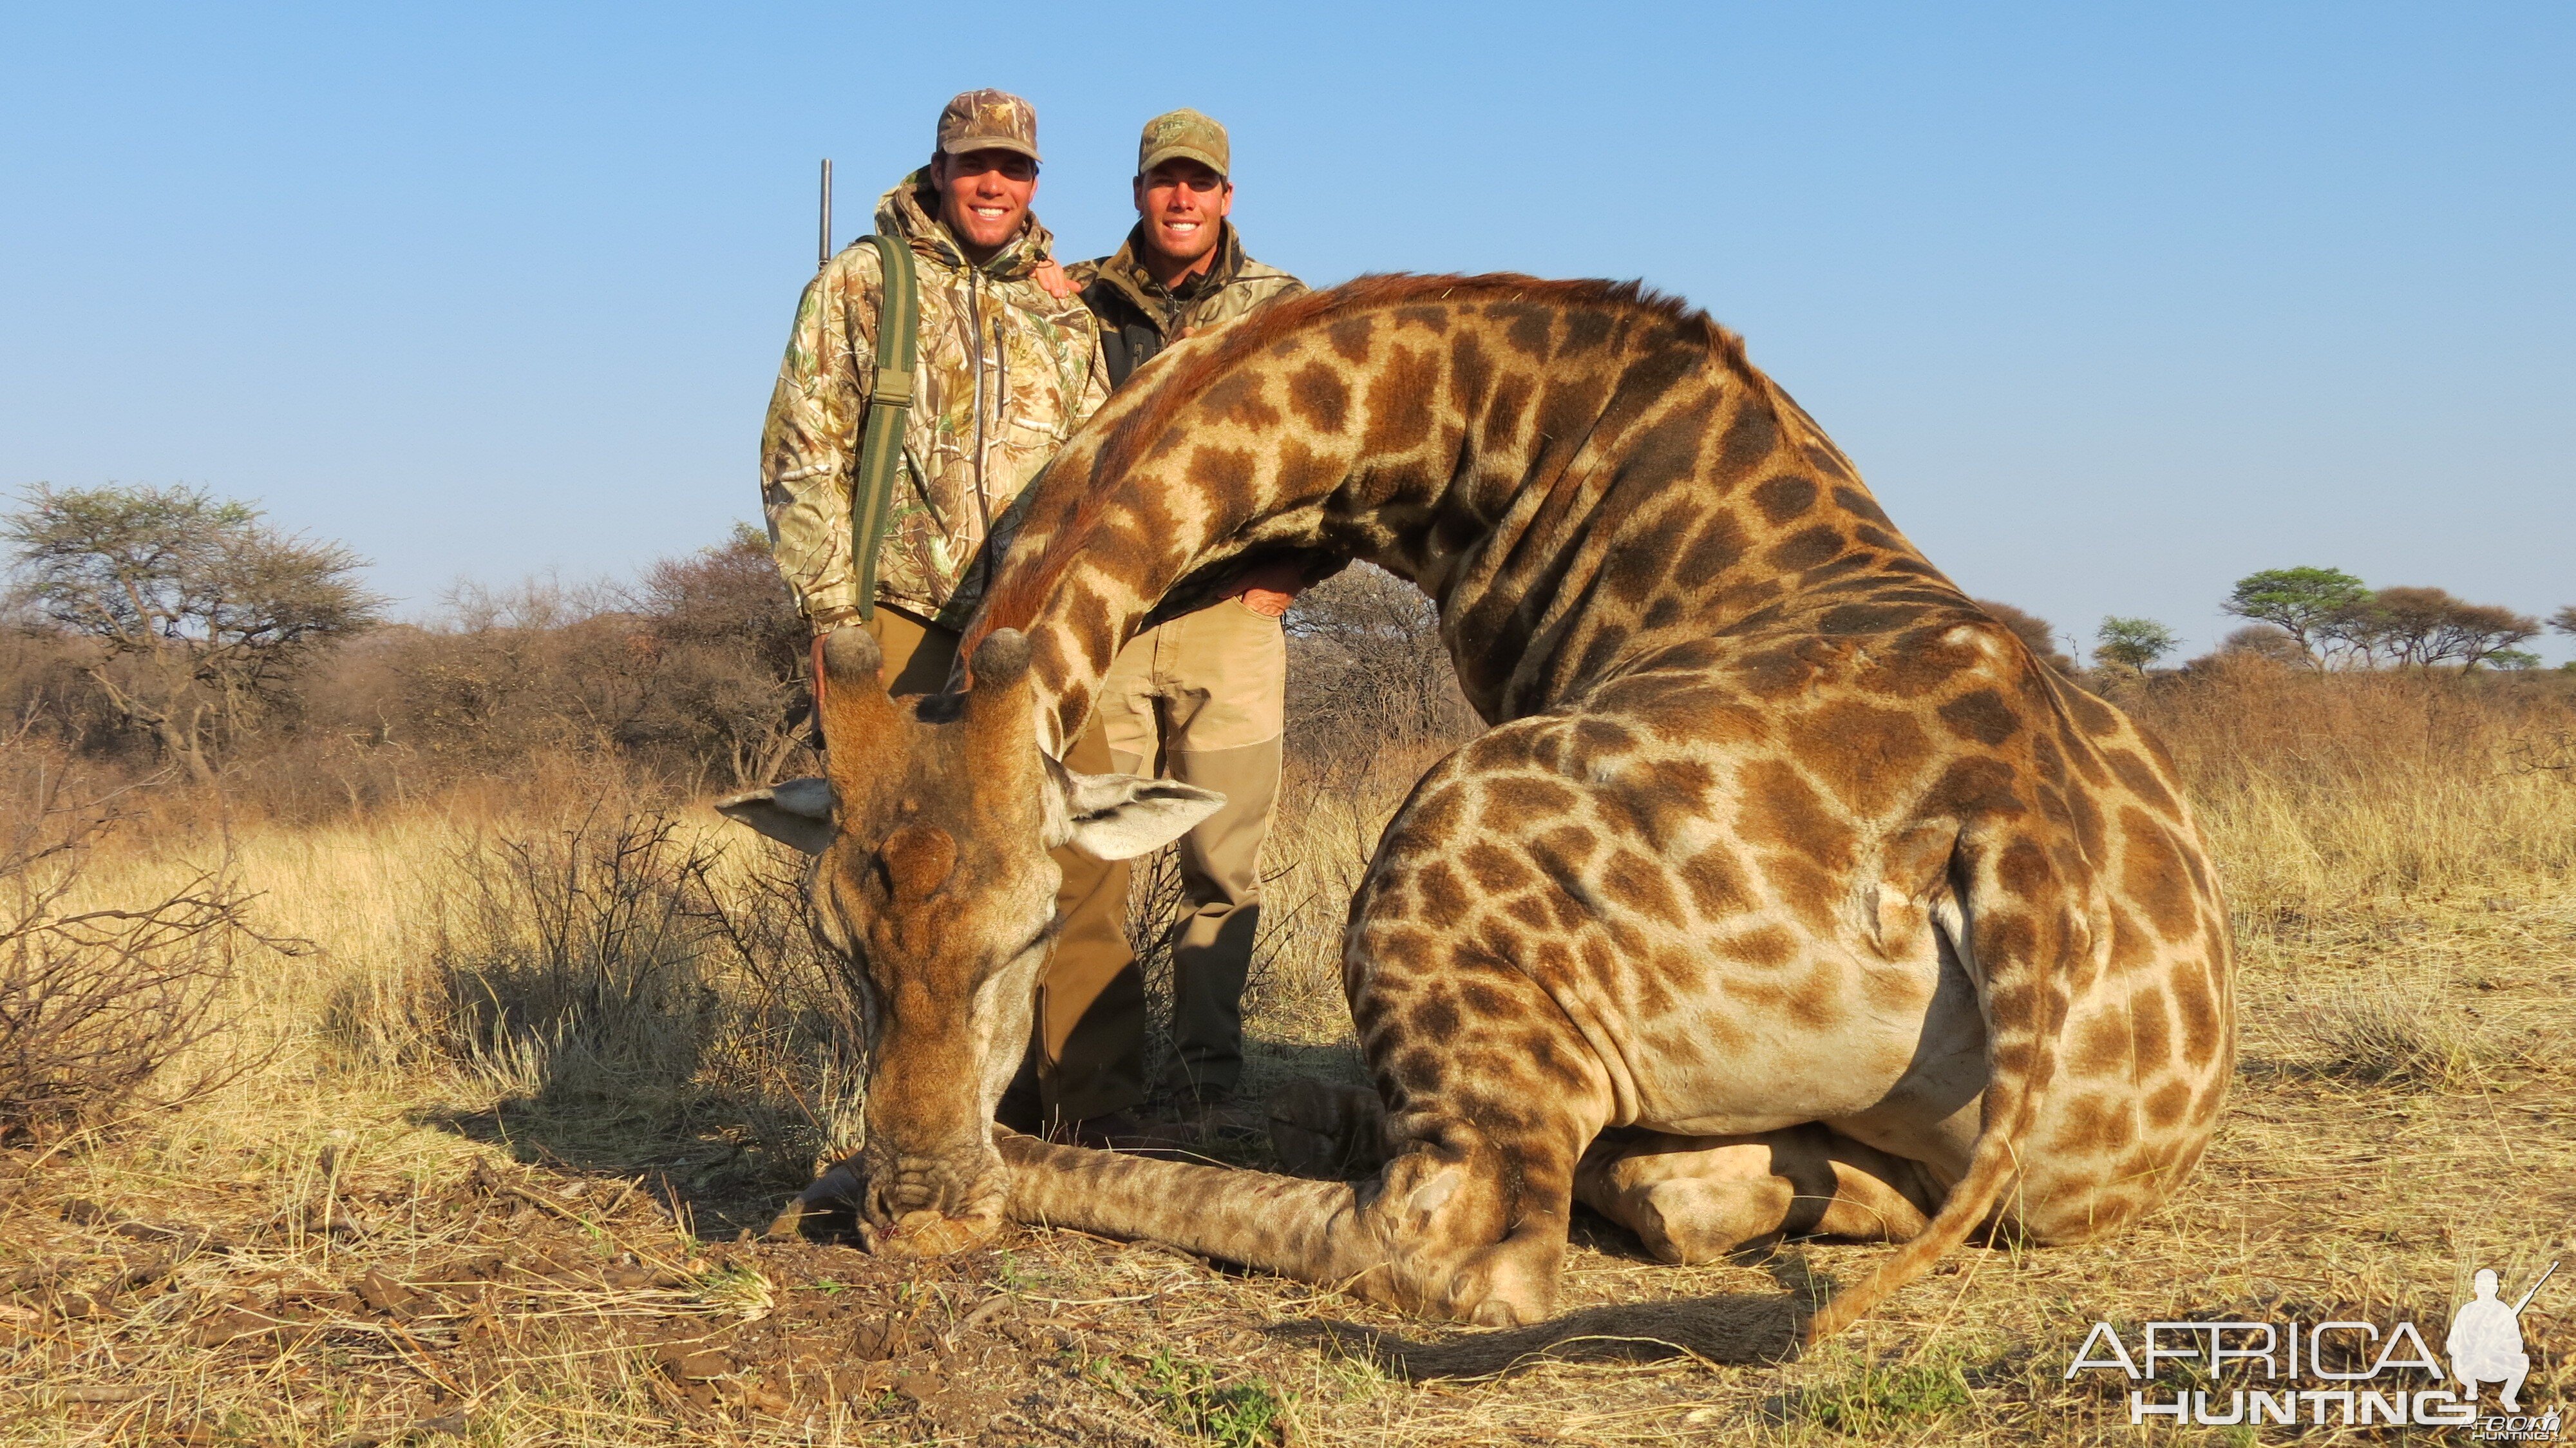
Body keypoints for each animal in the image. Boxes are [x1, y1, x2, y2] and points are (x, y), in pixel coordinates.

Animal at [721, 273, 2236, 1340]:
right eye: (840, 946)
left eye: (1034, 932)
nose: (923, 1210)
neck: (1514, 426)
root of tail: (2010, 845)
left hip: (1428, 841)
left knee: (1454, 1241)